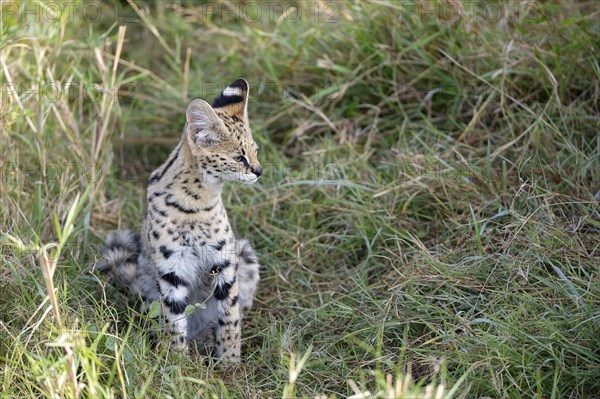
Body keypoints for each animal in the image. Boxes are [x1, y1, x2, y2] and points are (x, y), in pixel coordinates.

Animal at [99, 79, 262, 366]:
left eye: (254, 152)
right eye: (239, 158)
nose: (259, 171)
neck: (195, 203)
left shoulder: (225, 262)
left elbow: (230, 317)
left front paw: (230, 363)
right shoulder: (171, 269)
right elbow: (174, 322)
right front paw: (178, 364)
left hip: (245, 255)